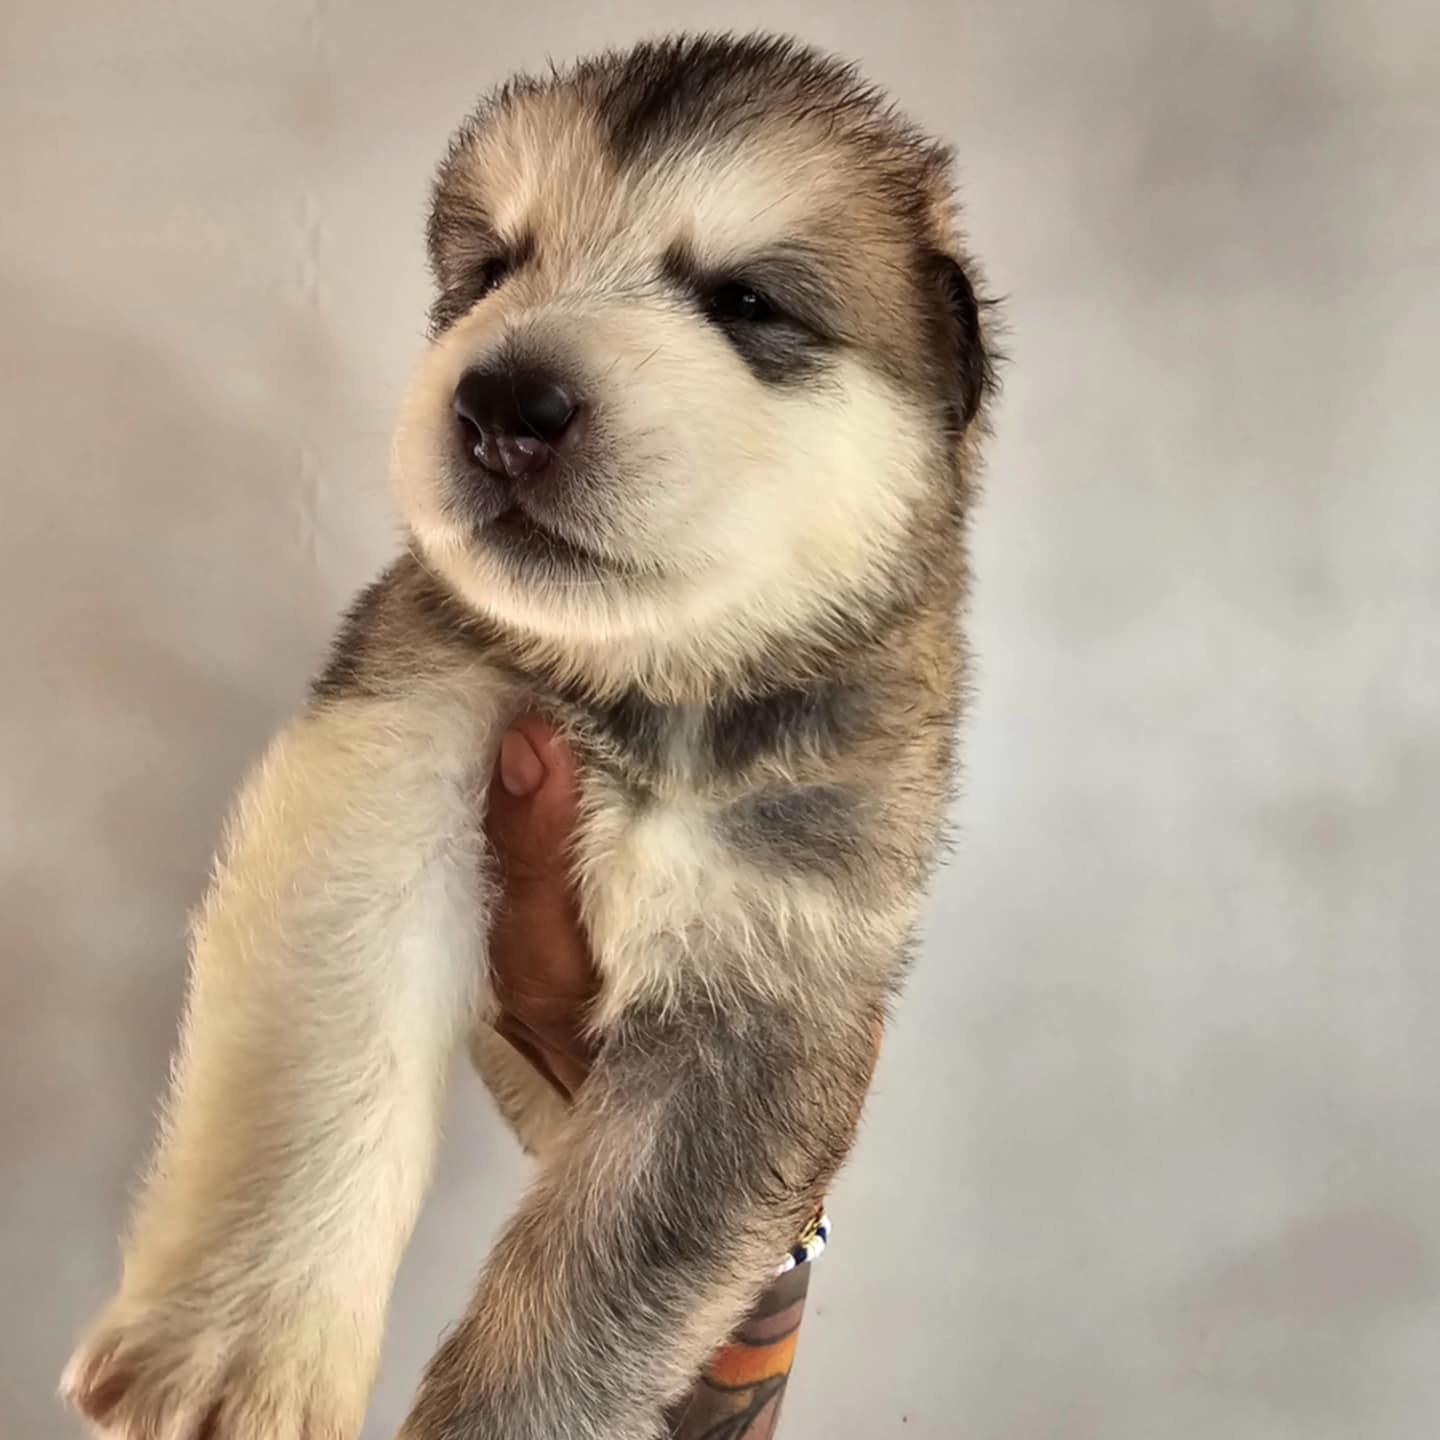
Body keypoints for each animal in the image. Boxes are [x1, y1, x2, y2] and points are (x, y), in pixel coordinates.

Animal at [61, 30, 996, 1440]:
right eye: (495, 270)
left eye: (745, 303)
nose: (504, 402)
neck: (653, 690)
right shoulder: (390, 764)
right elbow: (327, 1073)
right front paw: (242, 1350)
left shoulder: (770, 978)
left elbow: (603, 1277)